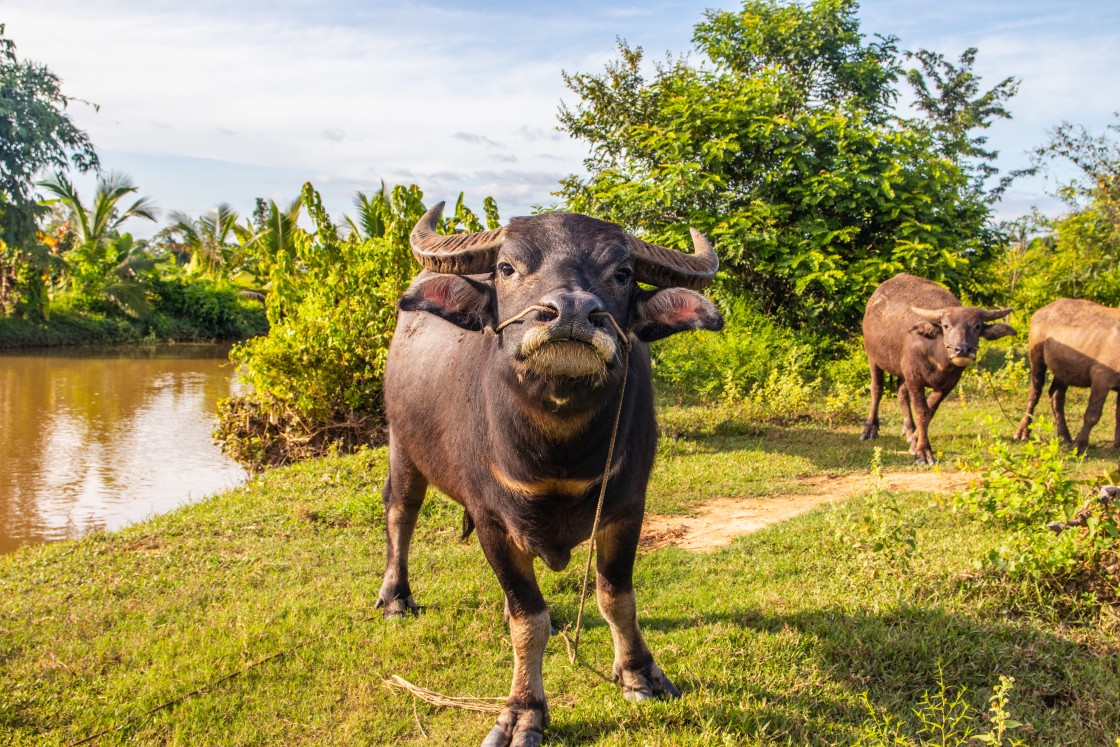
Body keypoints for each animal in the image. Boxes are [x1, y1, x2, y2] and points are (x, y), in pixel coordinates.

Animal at [380, 204, 721, 747]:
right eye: (506, 268)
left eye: (622, 273)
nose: (572, 313)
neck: (559, 451)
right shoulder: (492, 522)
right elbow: (529, 620)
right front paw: (523, 711)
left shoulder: (627, 508)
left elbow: (616, 597)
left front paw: (640, 674)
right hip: (402, 442)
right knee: (401, 510)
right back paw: (395, 598)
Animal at [855, 272, 1016, 463]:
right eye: (946, 325)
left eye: (977, 326)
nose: (962, 349)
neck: (938, 358)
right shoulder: (915, 377)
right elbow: (921, 411)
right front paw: (923, 451)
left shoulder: (948, 384)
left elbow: (930, 410)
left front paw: (915, 440)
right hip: (873, 357)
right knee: (877, 390)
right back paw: (870, 429)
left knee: (901, 393)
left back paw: (909, 429)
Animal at [1012, 295, 1120, 450]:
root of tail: (1041, 311)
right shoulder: (1101, 378)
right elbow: (1092, 414)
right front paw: (1079, 445)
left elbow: (1118, 414)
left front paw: (1118, 443)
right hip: (1036, 358)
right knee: (1034, 394)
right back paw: (1023, 432)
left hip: (1063, 371)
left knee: (1056, 397)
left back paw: (1064, 436)